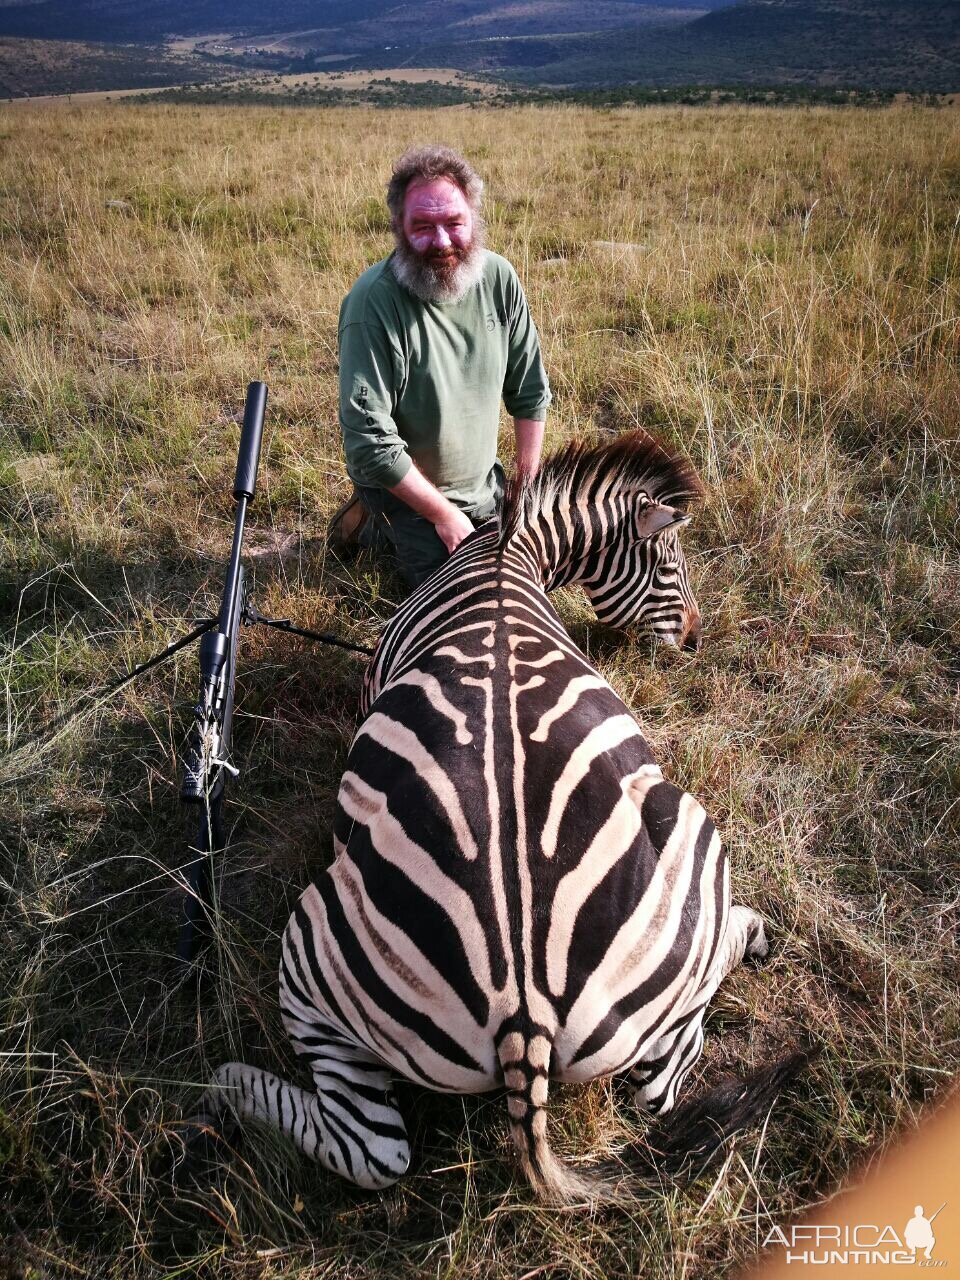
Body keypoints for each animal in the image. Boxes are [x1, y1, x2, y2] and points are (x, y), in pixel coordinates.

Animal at [195, 427, 798, 1198]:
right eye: (670, 565)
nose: (695, 638)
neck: (509, 551)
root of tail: (525, 1013)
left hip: (313, 962)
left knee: (371, 1148)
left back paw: (224, 1085)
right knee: (657, 1085)